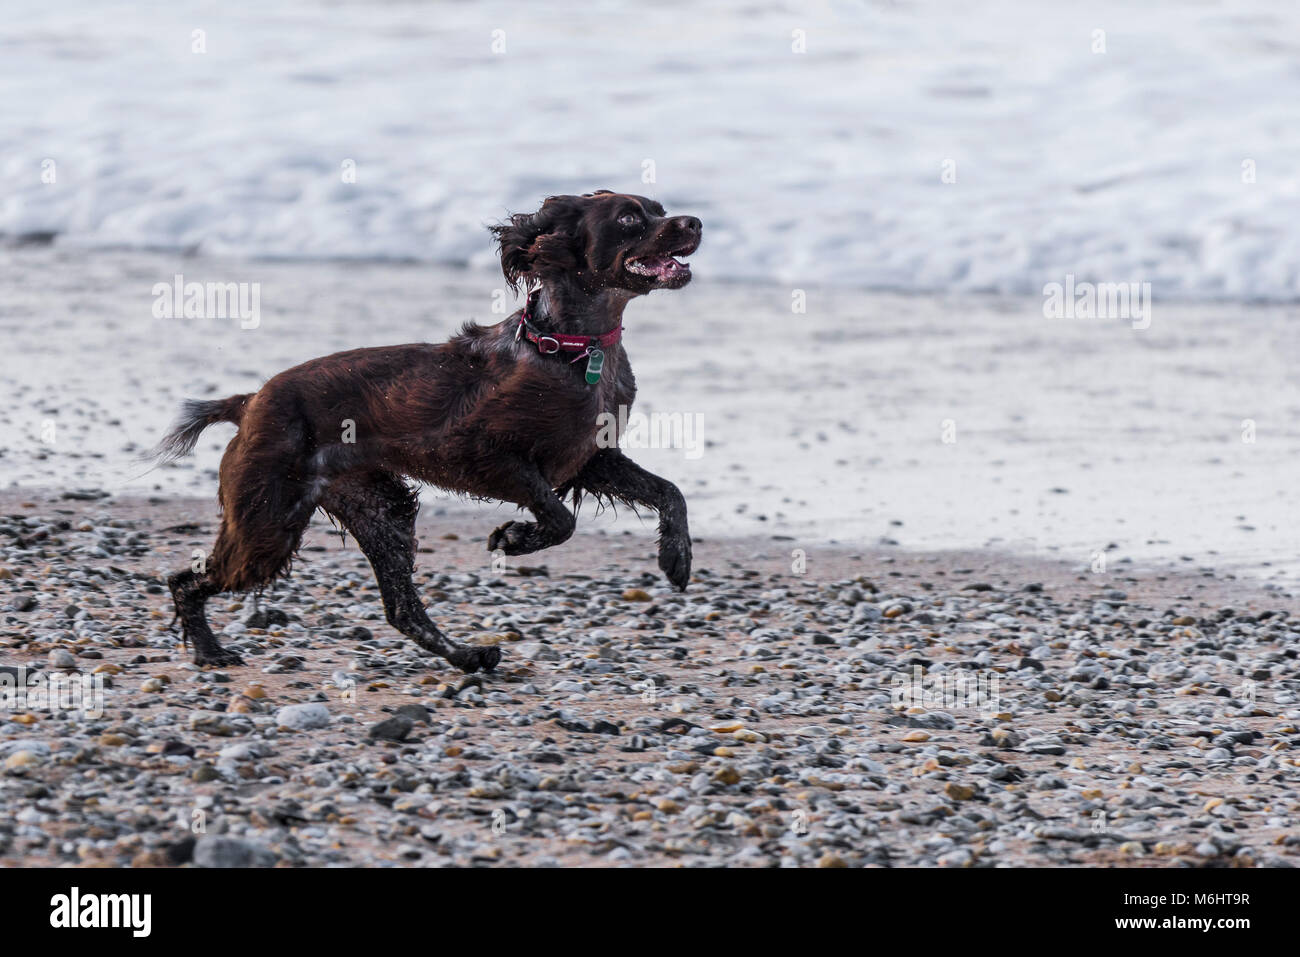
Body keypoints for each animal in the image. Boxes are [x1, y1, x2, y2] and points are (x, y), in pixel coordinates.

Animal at [153, 191, 707, 670]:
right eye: (629, 218)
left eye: (659, 208)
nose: (695, 222)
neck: (572, 349)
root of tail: (248, 403)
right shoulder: (481, 454)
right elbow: (559, 518)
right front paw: (513, 538)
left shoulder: (588, 459)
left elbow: (669, 491)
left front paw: (676, 557)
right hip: (269, 520)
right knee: (186, 579)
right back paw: (209, 651)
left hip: (381, 510)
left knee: (401, 608)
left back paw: (467, 656)